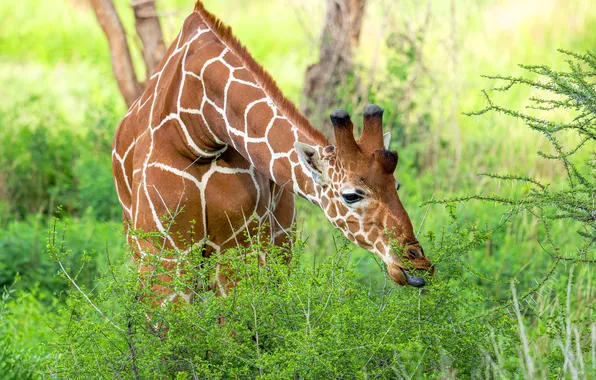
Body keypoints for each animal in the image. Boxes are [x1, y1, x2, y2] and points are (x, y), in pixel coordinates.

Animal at [112, 0, 434, 306]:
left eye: (396, 185)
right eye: (351, 195)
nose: (418, 263)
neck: (199, 127)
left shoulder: (237, 247)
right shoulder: (166, 251)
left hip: (280, 242)